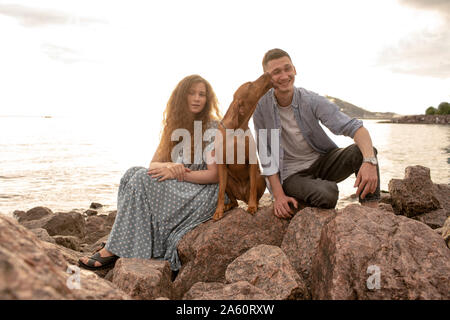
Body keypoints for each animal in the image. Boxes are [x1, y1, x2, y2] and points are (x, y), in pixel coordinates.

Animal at [213, 73, 272, 220]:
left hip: (259, 176)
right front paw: (218, 210)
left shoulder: (252, 161)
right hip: (229, 181)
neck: (237, 128)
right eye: (250, 84)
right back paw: (228, 206)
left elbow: (253, 188)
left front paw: (252, 207)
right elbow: (220, 192)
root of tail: (242, 196)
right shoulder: (222, 165)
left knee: (253, 194)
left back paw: (255, 204)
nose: (267, 73)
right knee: (234, 202)